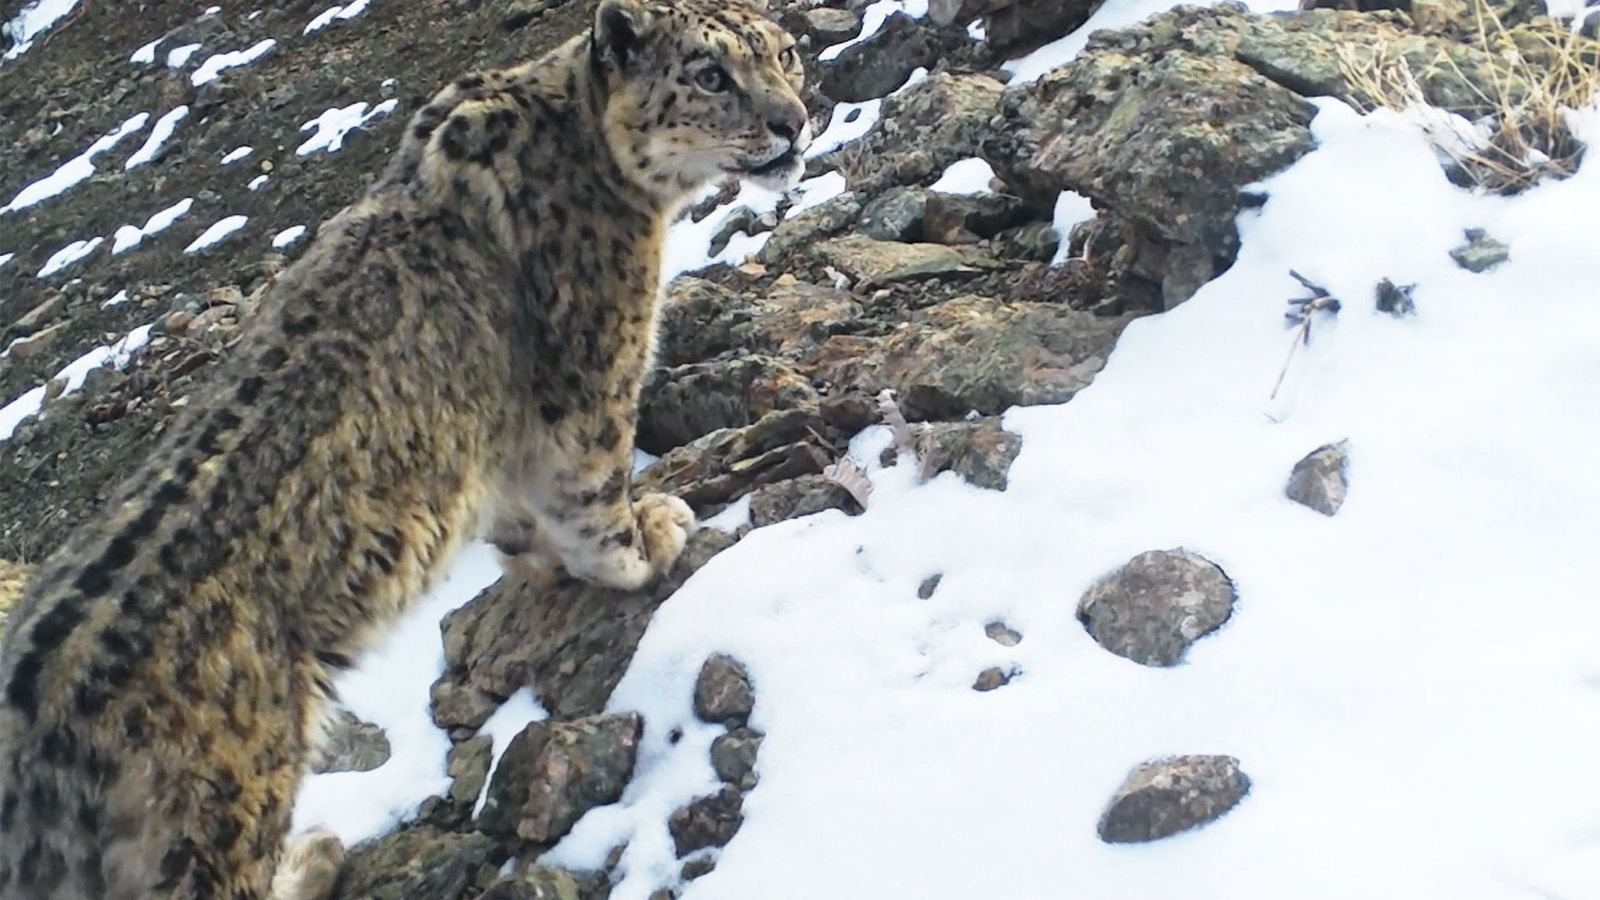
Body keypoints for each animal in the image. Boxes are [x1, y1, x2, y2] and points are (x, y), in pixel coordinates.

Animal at [0, 0, 809, 896]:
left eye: (784, 53)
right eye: (709, 74)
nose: (794, 120)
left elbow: (520, 519)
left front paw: (539, 559)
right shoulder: (592, 371)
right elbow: (592, 494)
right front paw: (646, 543)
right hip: (214, 824)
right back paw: (313, 858)